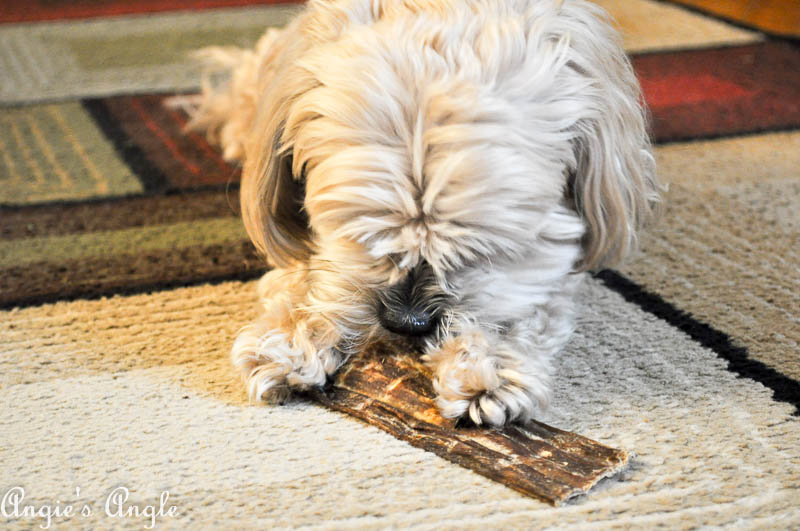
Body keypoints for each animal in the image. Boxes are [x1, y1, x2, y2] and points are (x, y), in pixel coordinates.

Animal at [180, 0, 656, 426]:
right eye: (358, 233)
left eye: (484, 247)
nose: (407, 323)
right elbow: (315, 275)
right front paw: (298, 331)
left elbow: (526, 299)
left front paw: (487, 363)